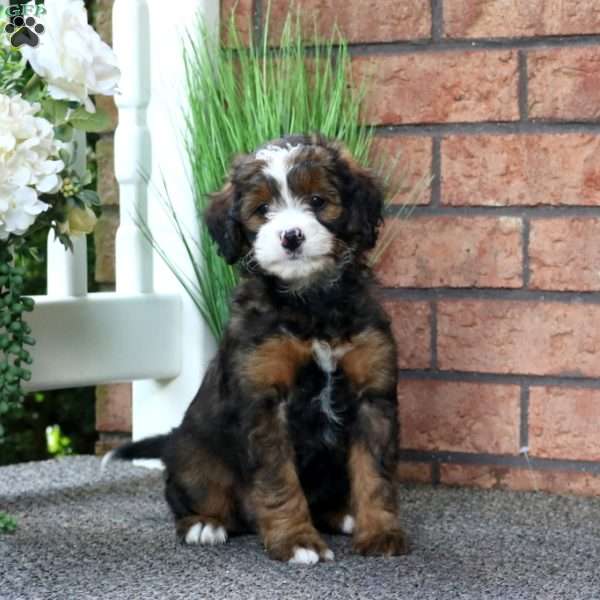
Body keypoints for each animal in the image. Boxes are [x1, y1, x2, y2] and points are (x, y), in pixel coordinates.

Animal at [106, 134, 408, 564]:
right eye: (262, 210)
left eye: (317, 200)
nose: (291, 236)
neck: (311, 306)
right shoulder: (265, 401)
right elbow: (279, 480)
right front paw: (297, 540)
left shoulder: (372, 397)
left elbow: (375, 473)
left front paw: (380, 532)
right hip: (194, 454)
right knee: (189, 496)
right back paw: (204, 524)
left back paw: (342, 514)